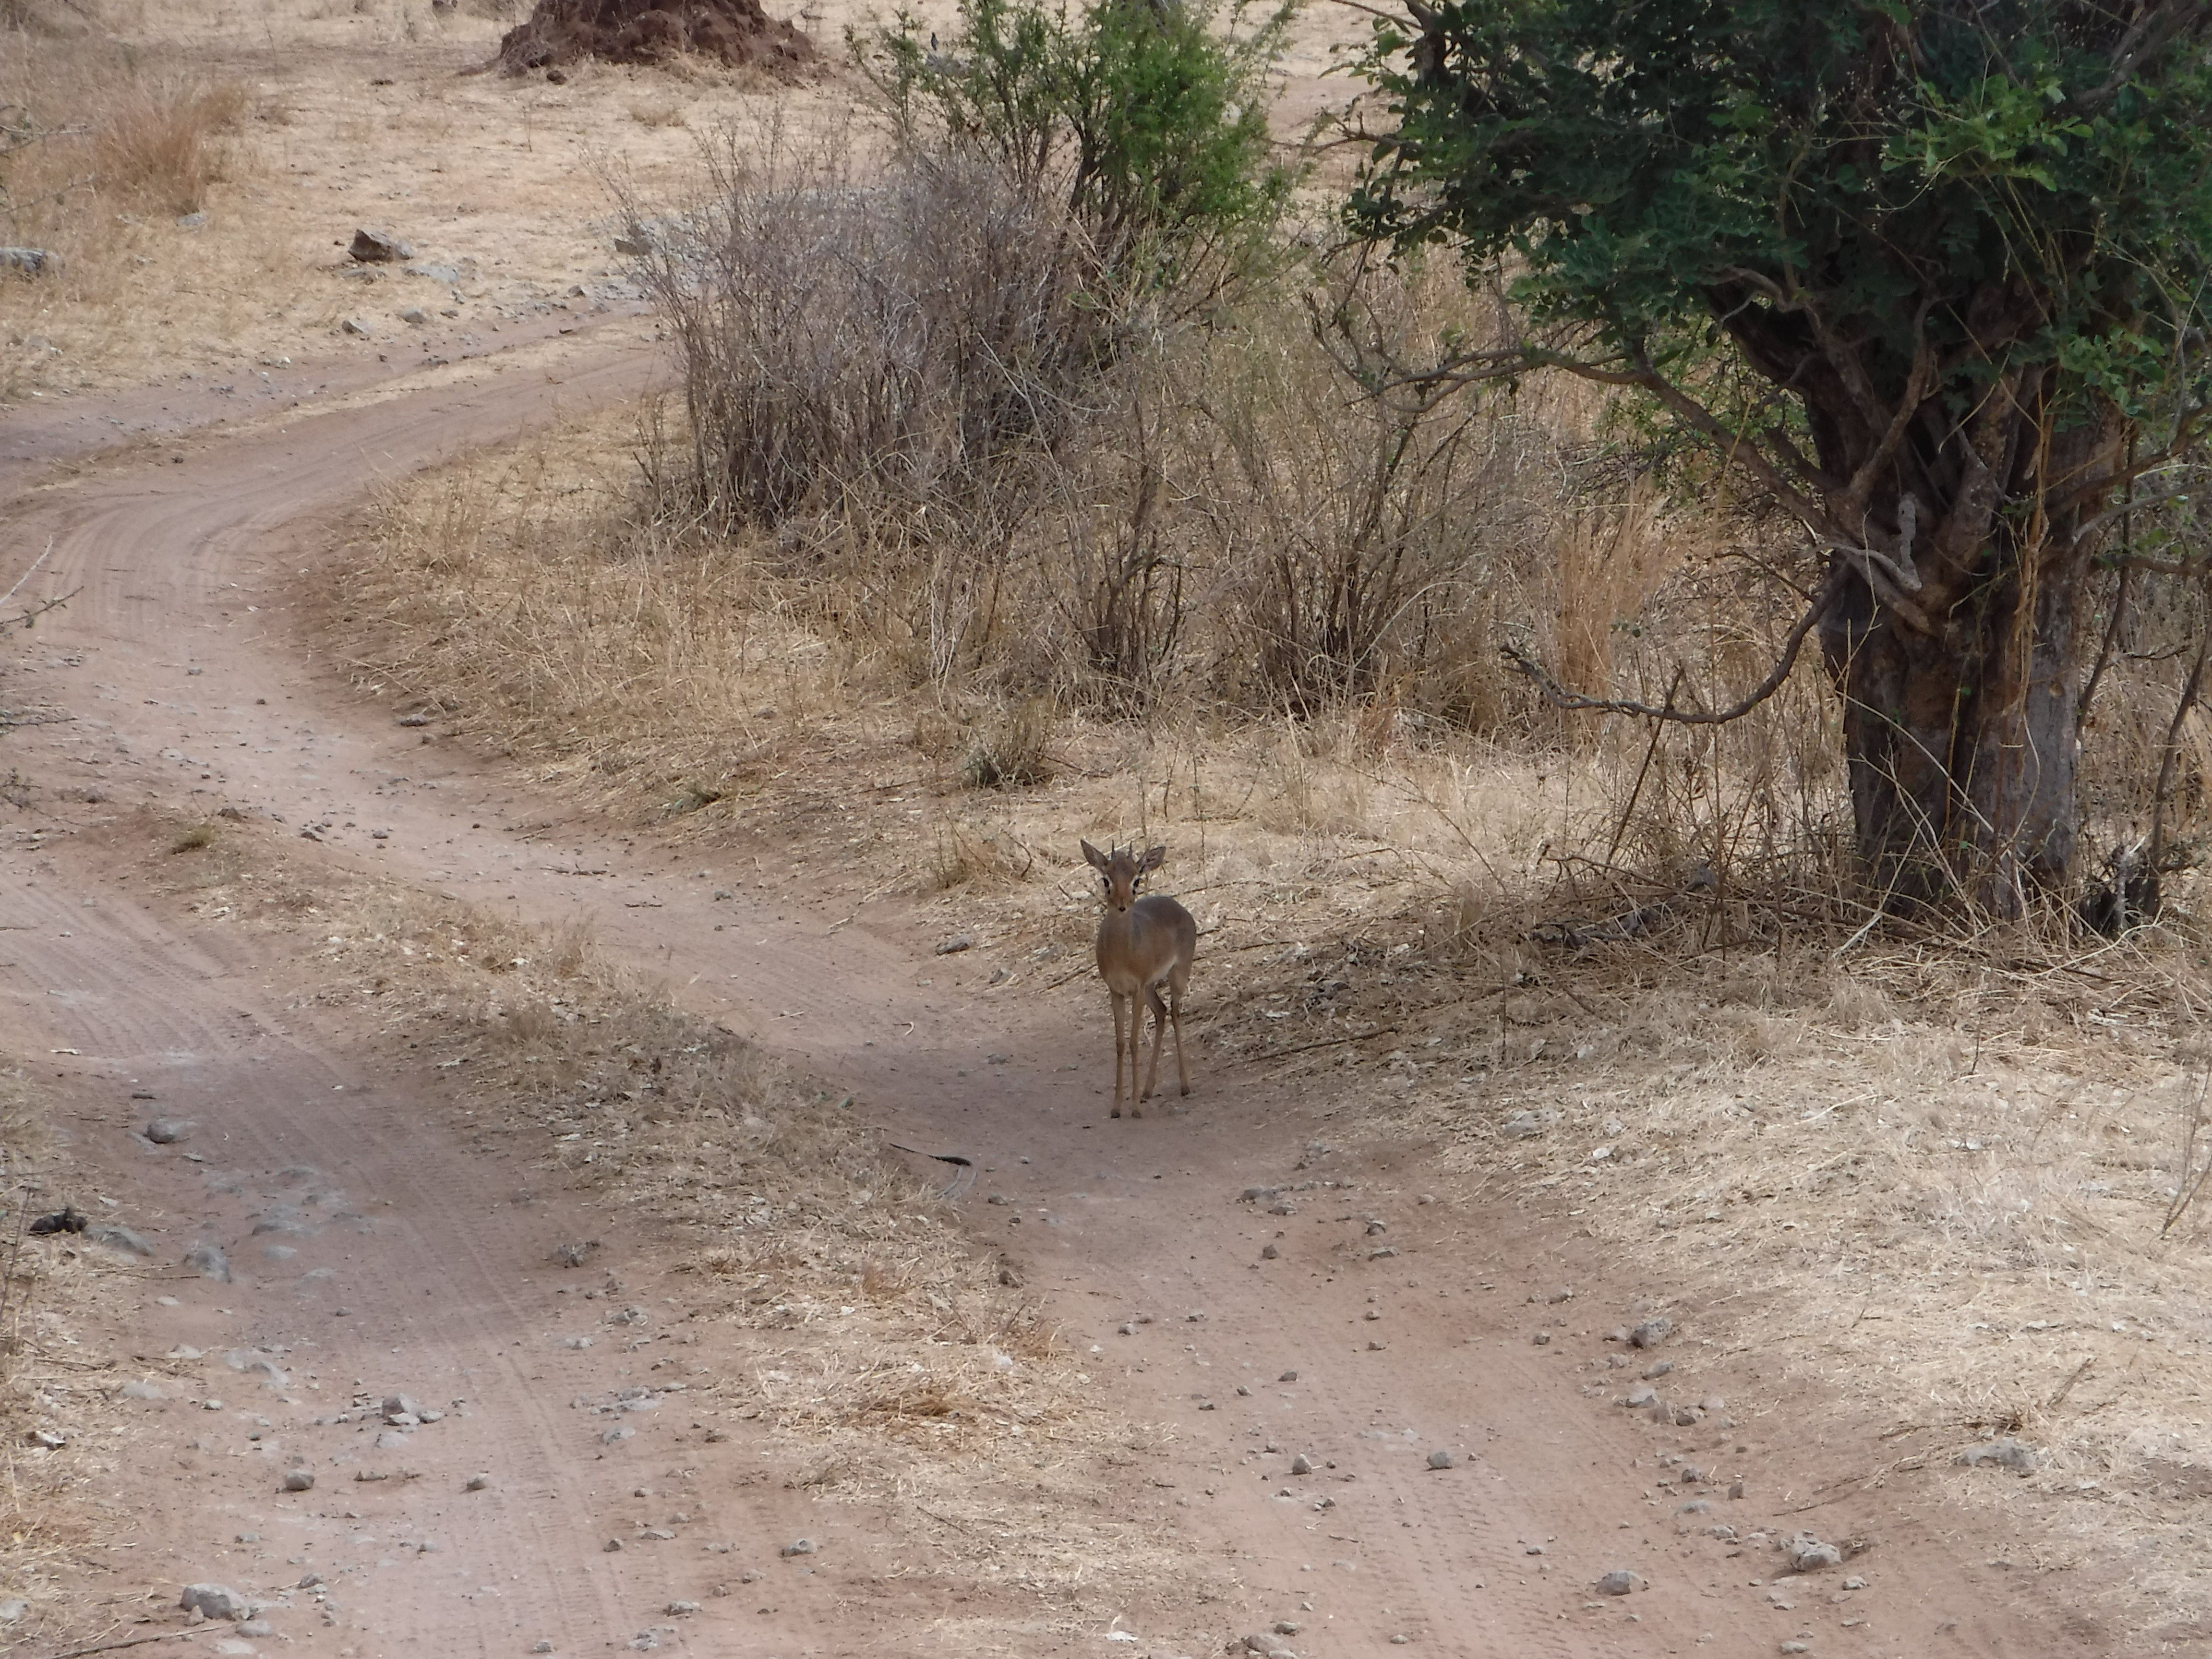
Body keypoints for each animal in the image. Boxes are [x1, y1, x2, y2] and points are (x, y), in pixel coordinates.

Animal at [1080, 840, 1197, 1118]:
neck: (1123, 952)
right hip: (1151, 988)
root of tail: (1181, 909)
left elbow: (1134, 1043)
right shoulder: (1117, 992)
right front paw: (1116, 1107)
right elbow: (1121, 1043)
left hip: (1176, 976)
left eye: (1137, 879)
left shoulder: (1136, 990)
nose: (1123, 905)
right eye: (1106, 879)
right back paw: (1146, 1090)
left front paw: (1132, 1108)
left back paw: (1184, 1085)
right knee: (1162, 1012)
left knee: (1175, 1013)